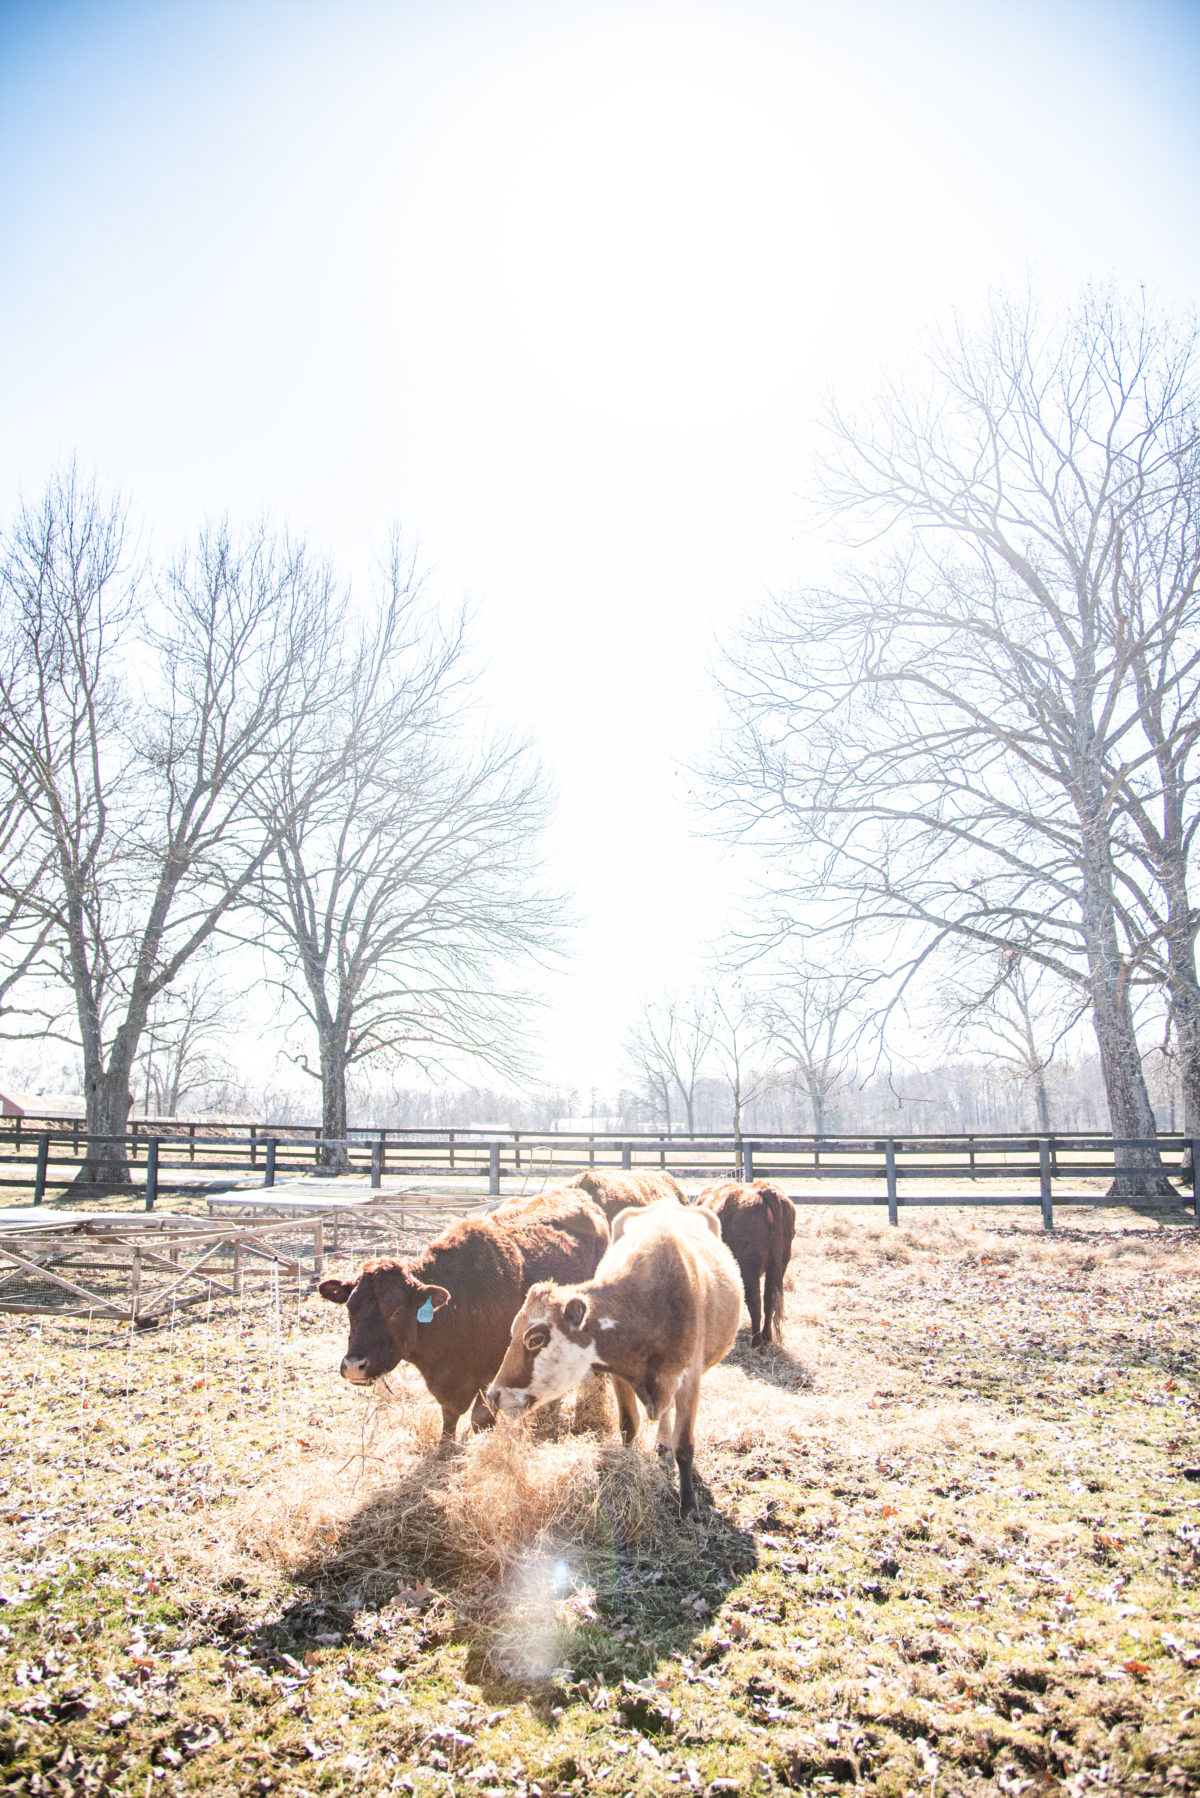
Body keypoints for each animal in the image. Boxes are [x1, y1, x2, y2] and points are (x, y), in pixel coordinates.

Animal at [318, 1208, 611, 1445]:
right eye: (350, 1307)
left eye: (397, 1311)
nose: (354, 1366)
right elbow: (449, 1416)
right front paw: (443, 1448)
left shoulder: (493, 1373)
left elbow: (480, 1418)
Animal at [489, 1193, 741, 1517]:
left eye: (535, 1338)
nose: (493, 1394)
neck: (649, 1305)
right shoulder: (620, 1375)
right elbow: (628, 1427)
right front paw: (628, 1468)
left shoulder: (690, 1378)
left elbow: (685, 1445)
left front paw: (688, 1504)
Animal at [694, 1179, 798, 1352]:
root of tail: (763, 1189)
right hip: (780, 1264)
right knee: (769, 1300)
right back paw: (766, 1337)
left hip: (749, 1270)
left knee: (755, 1302)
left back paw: (756, 1341)